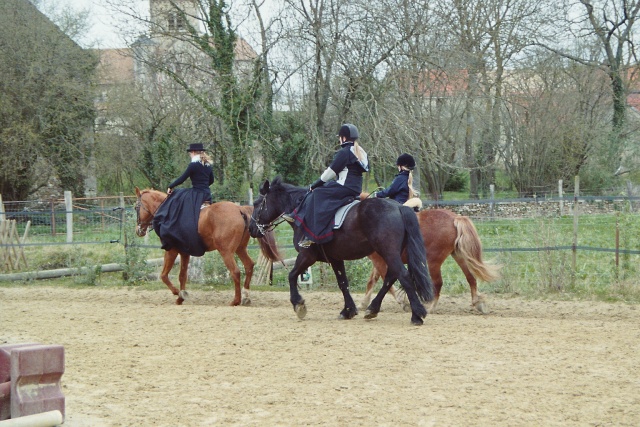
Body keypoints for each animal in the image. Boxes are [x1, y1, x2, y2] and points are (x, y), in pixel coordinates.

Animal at [133, 189, 280, 306]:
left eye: (136, 207)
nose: (138, 230)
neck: (167, 213)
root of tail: (240, 209)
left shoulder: (171, 250)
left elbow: (164, 275)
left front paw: (177, 293)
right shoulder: (184, 252)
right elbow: (182, 275)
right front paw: (181, 297)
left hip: (226, 252)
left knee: (236, 272)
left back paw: (235, 301)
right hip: (240, 249)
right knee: (249, 266)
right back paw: (246, 297)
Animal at [249, 176, 436, 324]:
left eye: (257, 204)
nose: (251, 228)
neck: (300, 210)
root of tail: (399, 206)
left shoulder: (307, 256)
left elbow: (292, 275)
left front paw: (299, 305)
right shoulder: (335, 258)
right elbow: (343, 283)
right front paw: (348, 310)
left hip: (388, 252)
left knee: (402, 276)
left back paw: (417, 314)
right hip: (391, 253)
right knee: (391, 277)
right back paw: (373, 309)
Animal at [360, 194, 500, 314]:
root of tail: (455, 218)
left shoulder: (380, 262)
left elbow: (387, 283)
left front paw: (402, 303)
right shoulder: (379, 262)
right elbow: (372, 280)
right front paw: (364, 303)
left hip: (434, 261)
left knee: (438, 283)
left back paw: (431, 307)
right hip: (458, 256)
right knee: (470, 277)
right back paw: (478, 303)